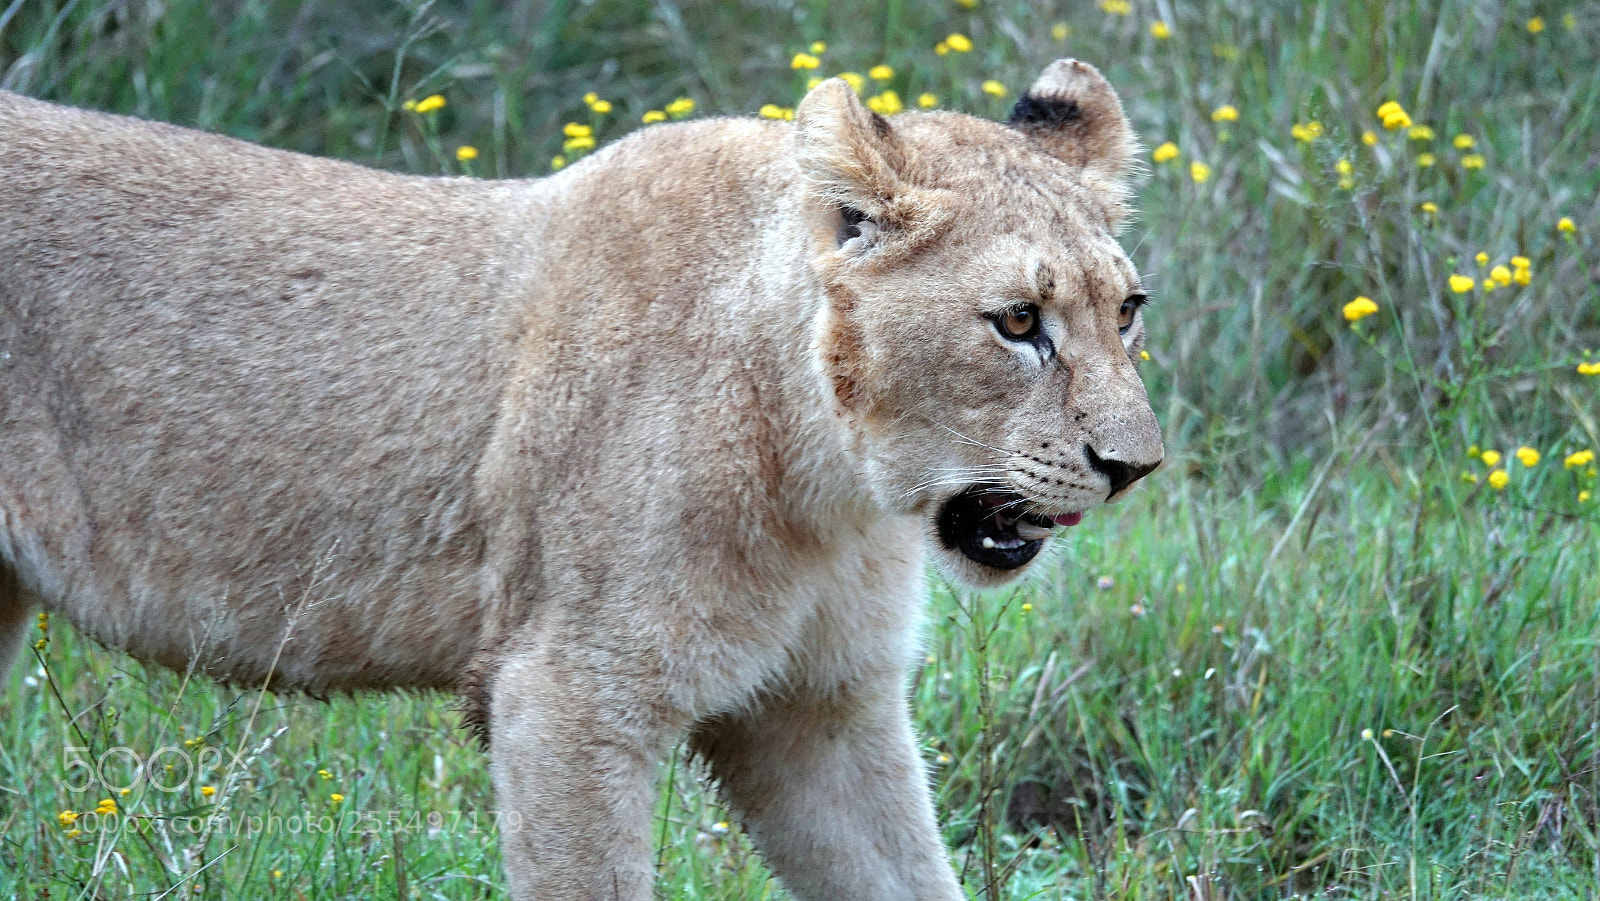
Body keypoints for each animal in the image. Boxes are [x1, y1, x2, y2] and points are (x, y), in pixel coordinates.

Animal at [0, 59, 1161, 899]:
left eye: (1127, 311)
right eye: (1018, 321)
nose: (1134, 467)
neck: (830, 487)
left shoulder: (823, 708)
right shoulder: (564, 694)